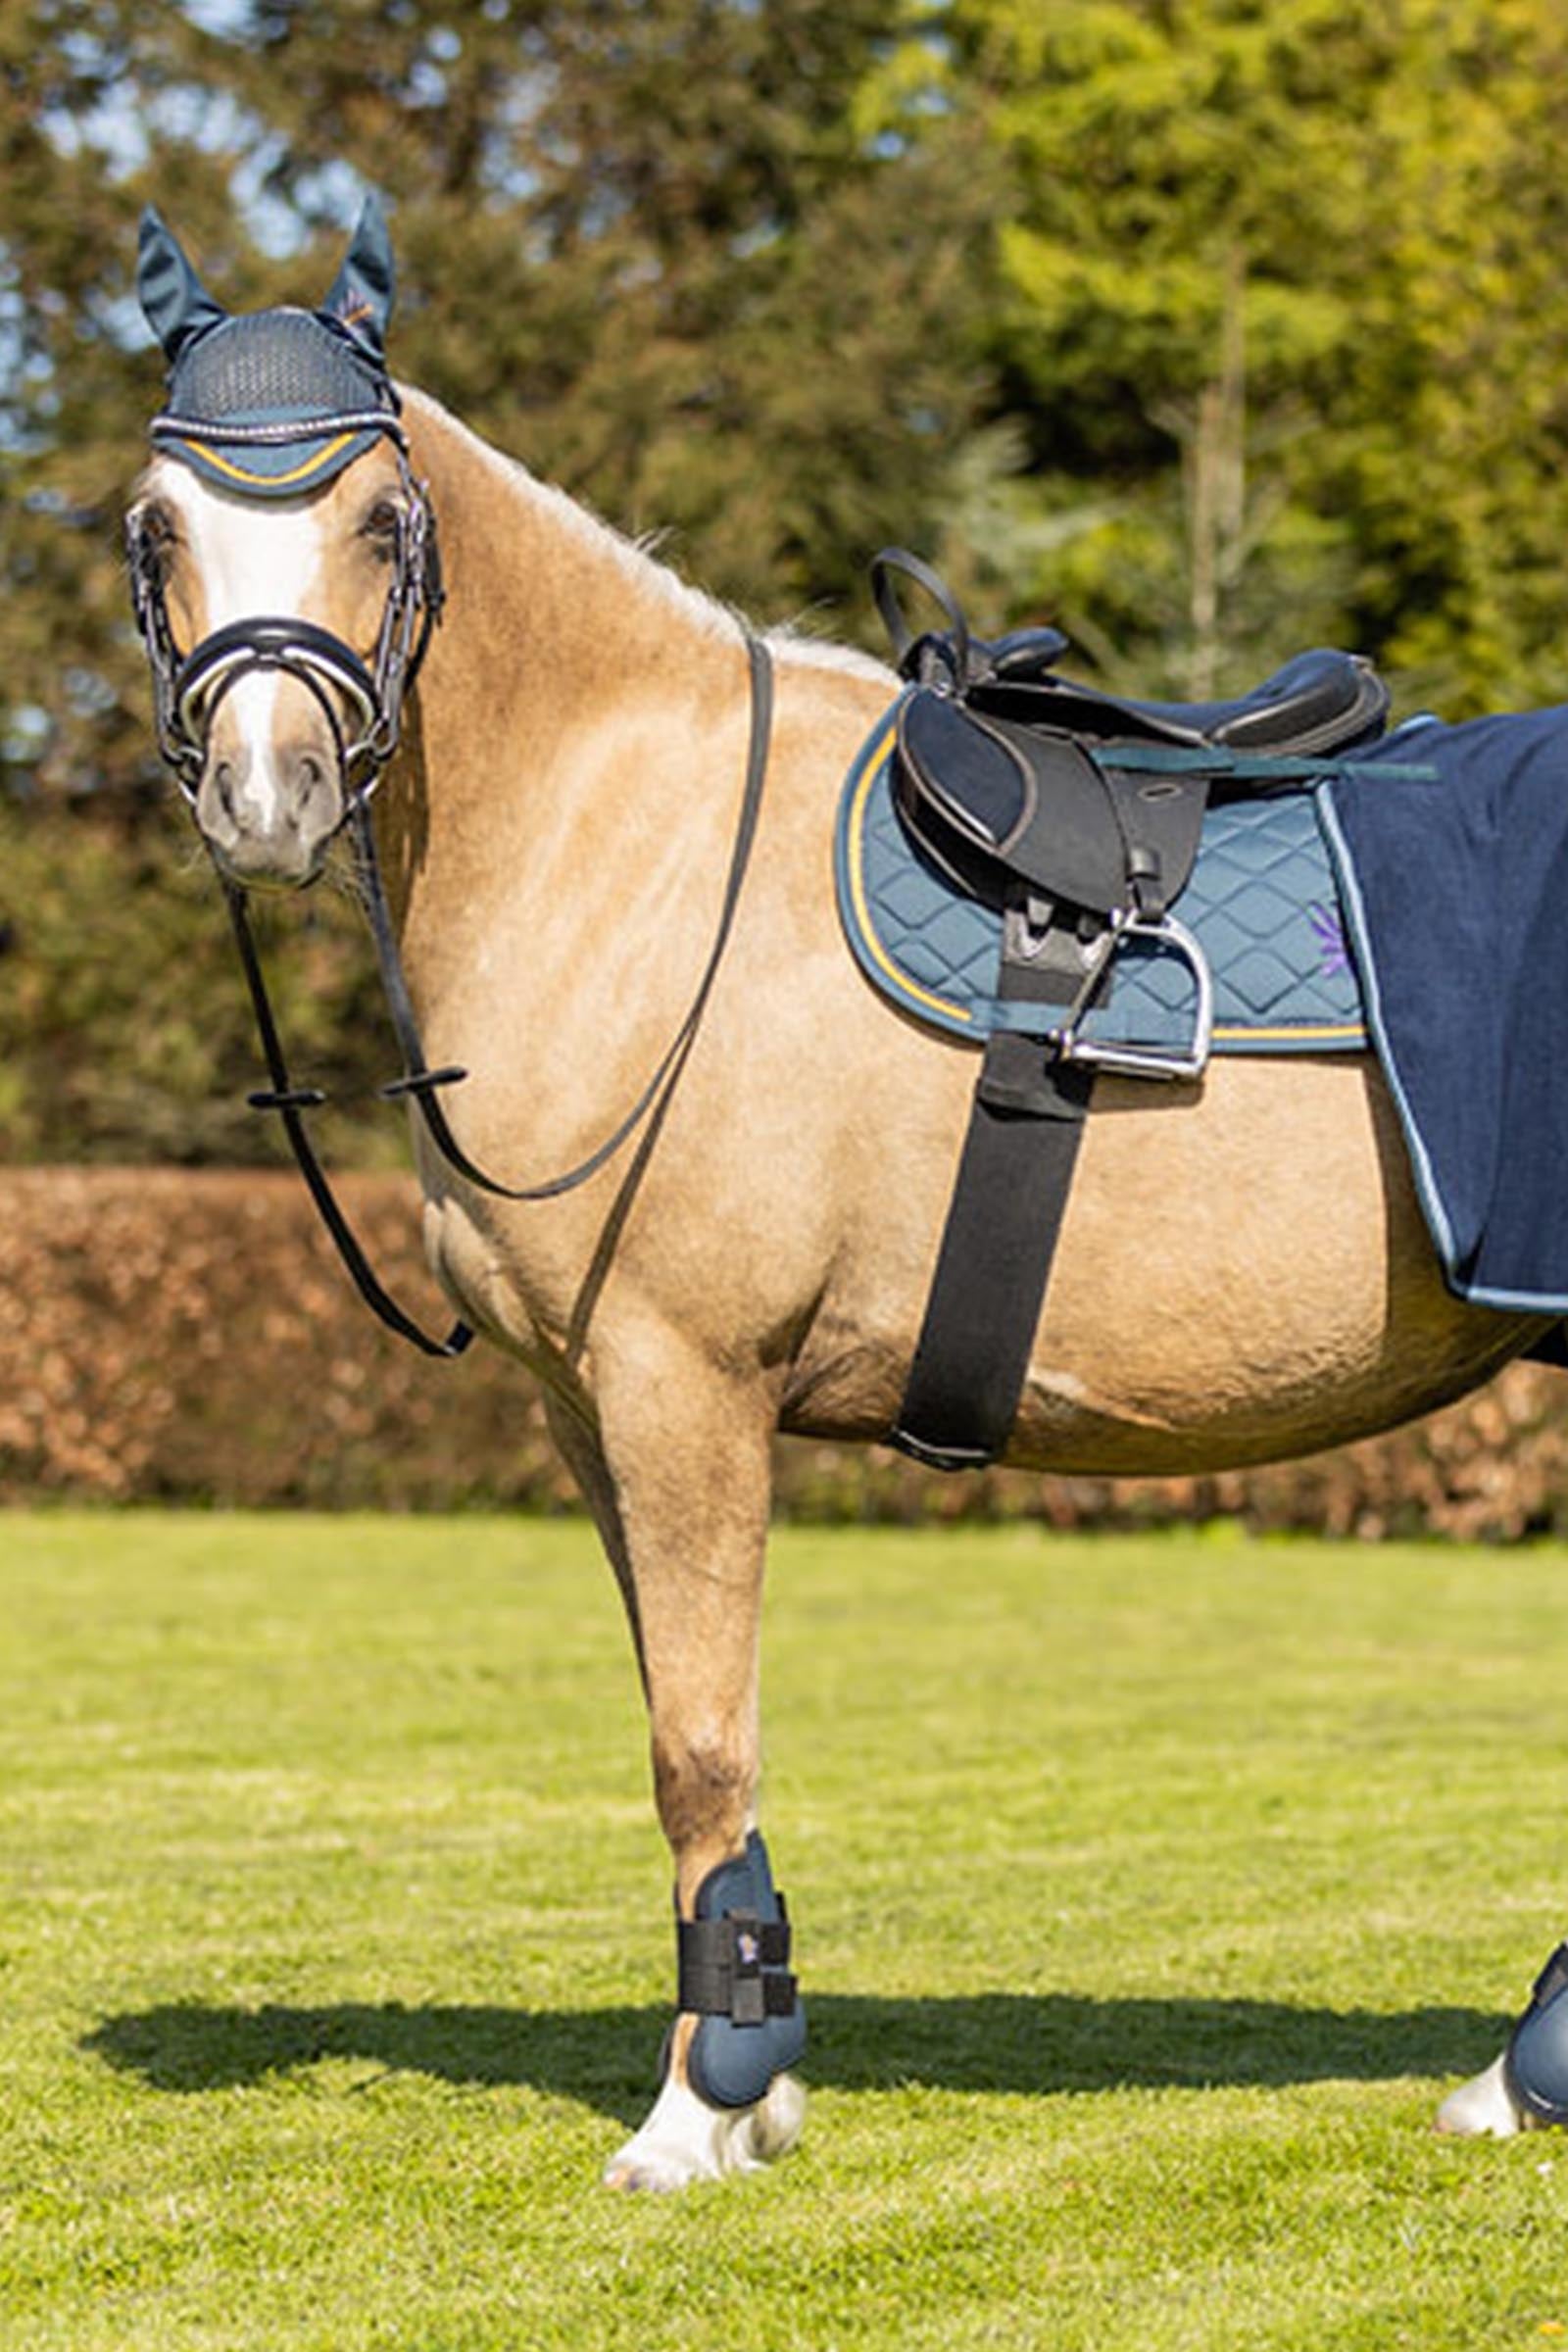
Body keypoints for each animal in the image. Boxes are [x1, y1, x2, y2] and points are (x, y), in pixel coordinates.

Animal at [122, 199, 1567, 2187]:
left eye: (383, 521)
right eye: (156, 526)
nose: (265, 800)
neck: (636, 848)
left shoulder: (685, 1388)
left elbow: (698, 1746)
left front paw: (697, 2107)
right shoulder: (595, 1417)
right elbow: (682, 1725)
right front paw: (755, 2072)